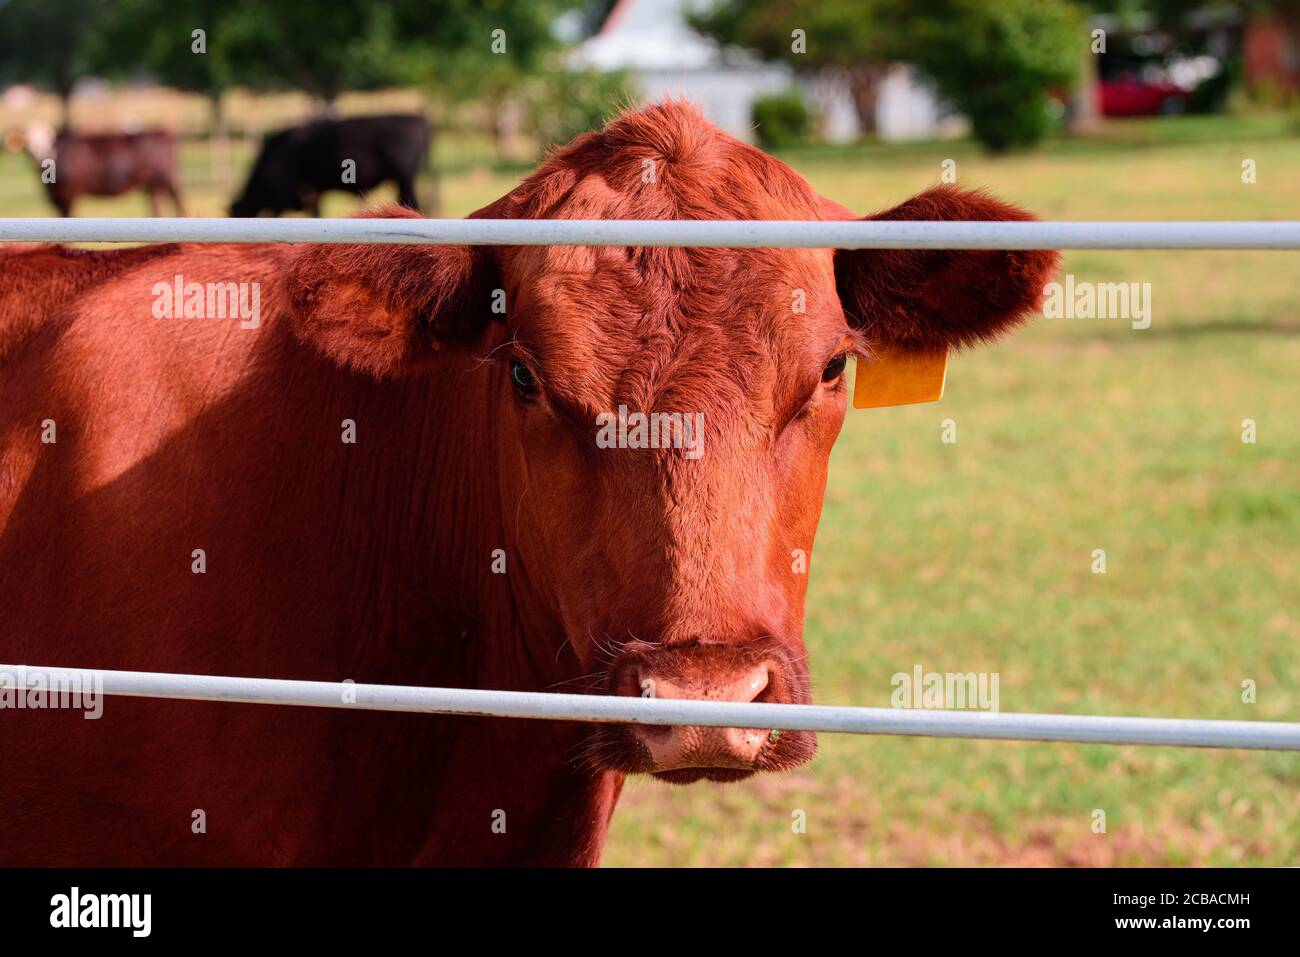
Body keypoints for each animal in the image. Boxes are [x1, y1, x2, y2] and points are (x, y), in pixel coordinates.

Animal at [6, 122, 186, 218]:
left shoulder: (69, 195)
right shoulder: (57, 199)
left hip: (167, 177)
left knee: (177, 201)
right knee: (155, 207)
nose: (38, 155)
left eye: (50, 141)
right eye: (28, 143)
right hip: (151, 183)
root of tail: (163, 130)